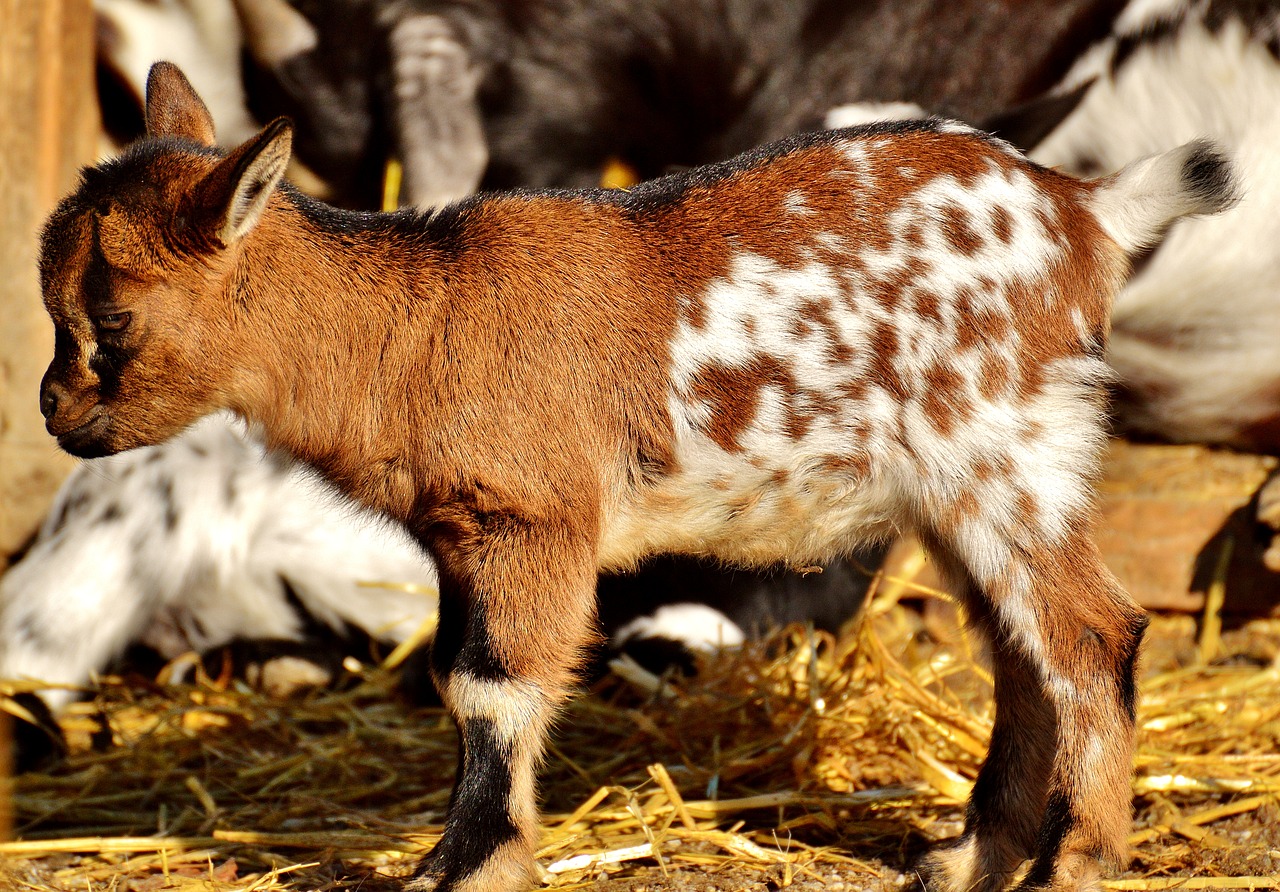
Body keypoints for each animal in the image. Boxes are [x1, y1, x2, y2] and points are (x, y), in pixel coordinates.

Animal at [42, 62, 1239, 890]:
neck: (412, 324)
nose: (55, 413)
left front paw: (465, 868)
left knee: (1090, 635)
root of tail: (1085, 212)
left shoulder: (534, 523)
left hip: (1006, 455)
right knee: (1020, 651)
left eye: (112, 321)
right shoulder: (462, 540)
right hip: (967, 489)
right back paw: (970, 857)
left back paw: (1073, 863)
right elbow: (462, 681)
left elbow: (494, 687)